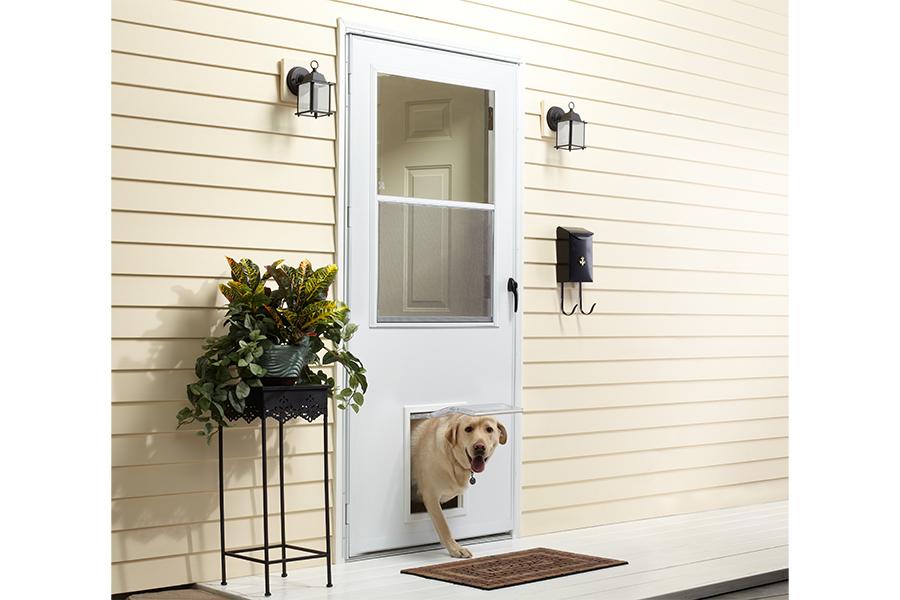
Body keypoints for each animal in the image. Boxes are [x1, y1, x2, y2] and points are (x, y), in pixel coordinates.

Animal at [410, 412, 506, 556]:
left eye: (489, 429)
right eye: (468, 429)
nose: (479, 447)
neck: (453, 460)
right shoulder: (431, 496)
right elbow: (443, 525)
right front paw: (455, 549)